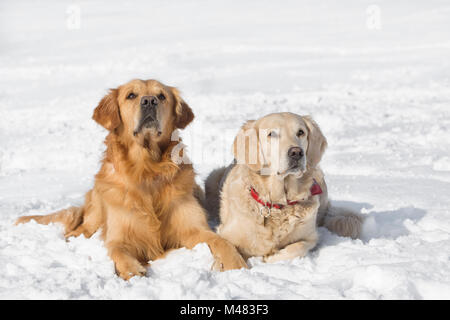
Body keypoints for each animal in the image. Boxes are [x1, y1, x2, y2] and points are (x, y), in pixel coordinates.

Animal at [16, 79, 246, 278]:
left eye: (161, 96)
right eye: (131, 95)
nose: (149, 101)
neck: (148, 171)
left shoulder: (193, 229)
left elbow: (221, 241)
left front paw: (236, 264)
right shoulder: (120, 234)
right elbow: (116, 250)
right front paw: (133, 271)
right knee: (84, 226)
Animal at [206, 112, 364, 262]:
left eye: (300, 132)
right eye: (272, 134)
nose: (296, 152)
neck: (278, 204)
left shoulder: (310, 237)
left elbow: (298, 248)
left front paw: (271, 256)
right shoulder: (226, 233)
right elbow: (227, 248)